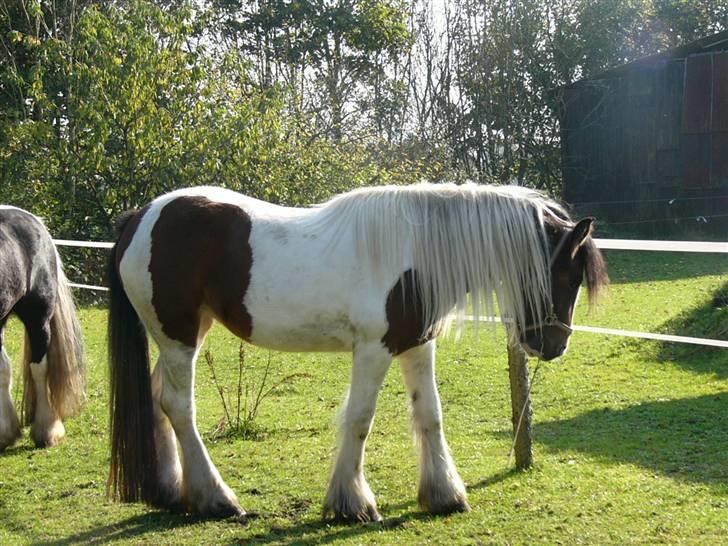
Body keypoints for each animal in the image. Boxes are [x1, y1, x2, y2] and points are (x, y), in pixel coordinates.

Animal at [106, 182, 608, 520]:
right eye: (568, 275)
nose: (554, 345)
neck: (416, 253)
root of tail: (141, 215)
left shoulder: (417, 346)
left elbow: (430, 415)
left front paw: (444, 494)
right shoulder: (373, 349)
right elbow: (360, 419)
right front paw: (351, 503)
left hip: (185, 333)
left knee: (157, 398)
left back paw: (171, 490)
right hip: (179, 336)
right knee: (179, 406)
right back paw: (217, 498)